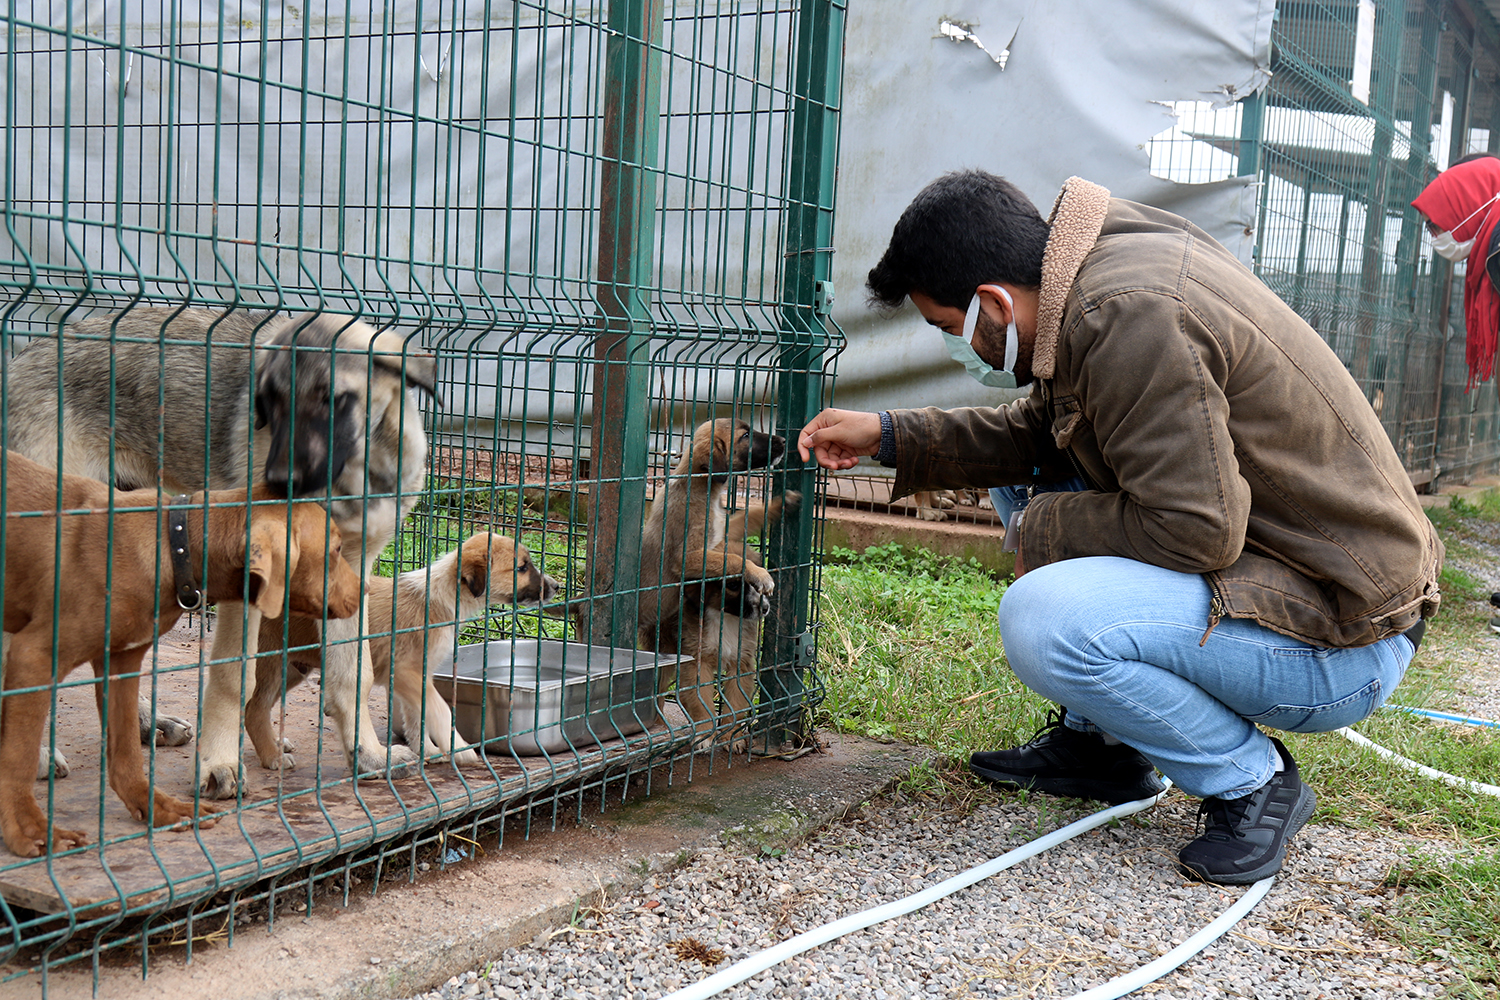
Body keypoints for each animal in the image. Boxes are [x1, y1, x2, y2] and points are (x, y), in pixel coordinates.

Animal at [0, 449, 361, 857]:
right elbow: (18, 756)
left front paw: (156, 807)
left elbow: (126, 752)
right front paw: (30, 830)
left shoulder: (121, 663)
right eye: (335, 549)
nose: (365, 590)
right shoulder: (34, 656)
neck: (174, 545)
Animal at [4, 305, 438, 797]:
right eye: (267, 403)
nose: (277, 484)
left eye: (332, 400)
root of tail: (24, 356)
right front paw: (219, 765)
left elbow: (353, 674)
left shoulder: (348, 573)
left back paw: (144, 725)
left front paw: (367, 755)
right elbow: (235, 675)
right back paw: (38, 754)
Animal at [249, 530, 561, 767]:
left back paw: (276, 744)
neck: (444, 595)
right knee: (254, 708)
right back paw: (272, 757)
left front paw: (429, 751)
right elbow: (440, 710)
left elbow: (417, 716)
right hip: (270, 664)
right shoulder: (404, 672)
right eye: (522, 567)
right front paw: (459, 748)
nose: (557, 586)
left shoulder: (417, 675)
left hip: (293, 669)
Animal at [633, 419, 798, 746]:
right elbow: (734, 561)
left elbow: (747, 516)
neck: (699, 484)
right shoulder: (690, 556)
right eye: (745, 436)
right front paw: (760, 575)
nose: (785, 441)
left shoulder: (722, 535)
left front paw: (778, 505)